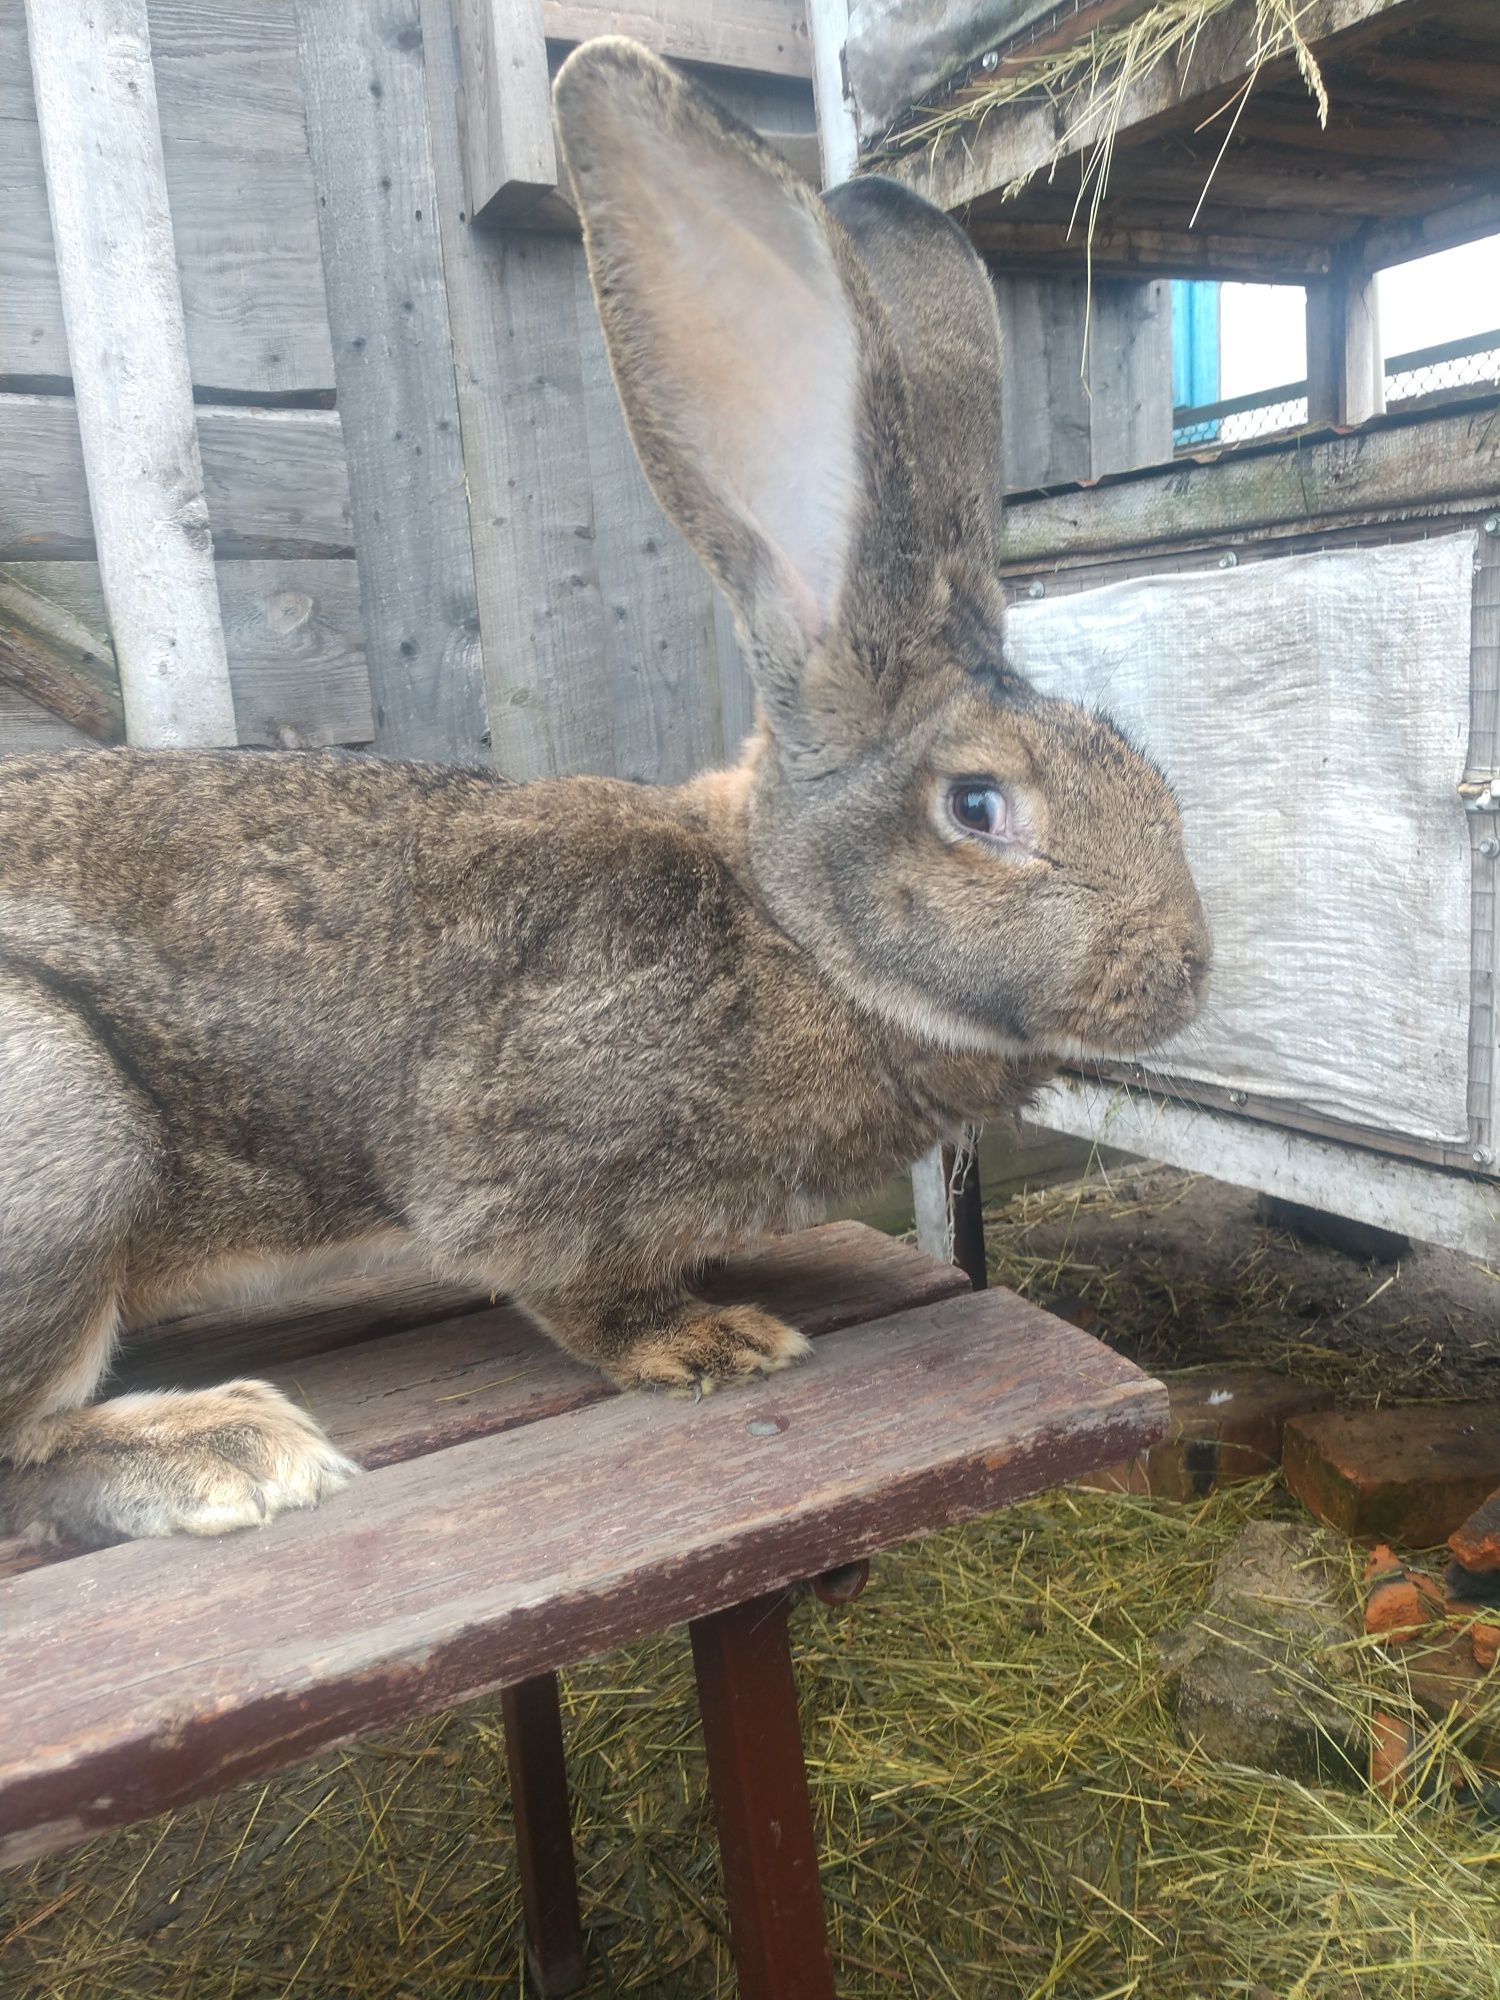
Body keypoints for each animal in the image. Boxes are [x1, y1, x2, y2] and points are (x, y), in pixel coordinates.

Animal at [0, 43, 1208, 1544]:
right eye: (982, 810)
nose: (1188, 971)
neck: (787, 931)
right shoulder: (524, 1164)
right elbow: (566, 1280)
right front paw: (706, 1341)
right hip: (65, 1129)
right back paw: (229, 1450)